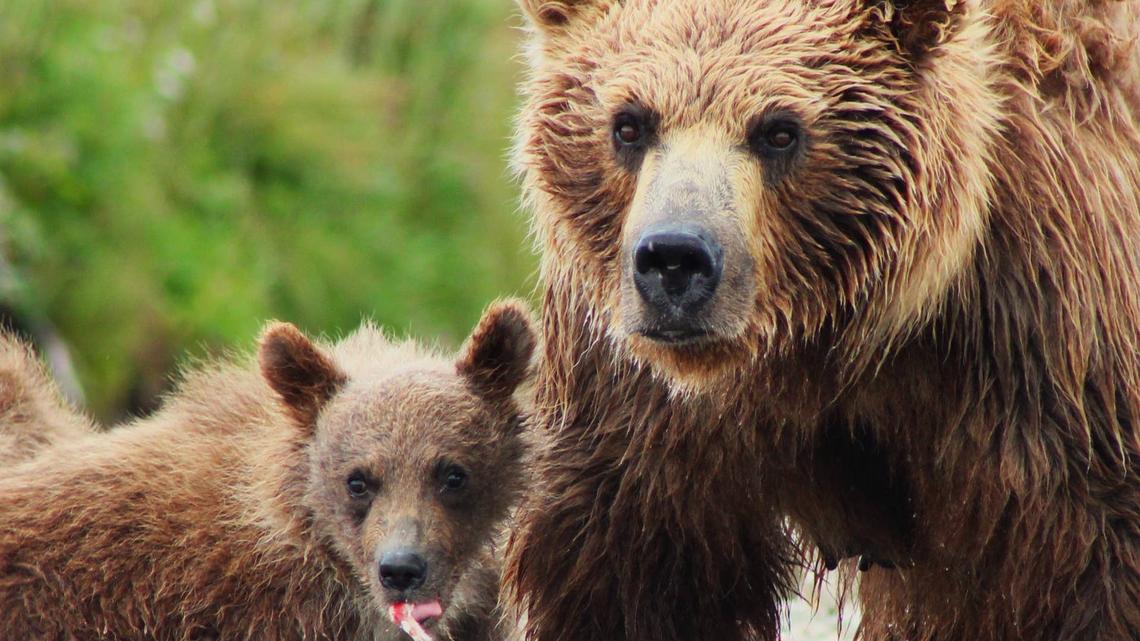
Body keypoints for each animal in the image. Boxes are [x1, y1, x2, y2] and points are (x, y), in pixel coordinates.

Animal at [501, 2, 1140, 641]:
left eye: (779, 130)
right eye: (629, 124)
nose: (675, 259)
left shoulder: (1041, 357)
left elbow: (1091, 565)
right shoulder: (639, 402)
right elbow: (628, 573)